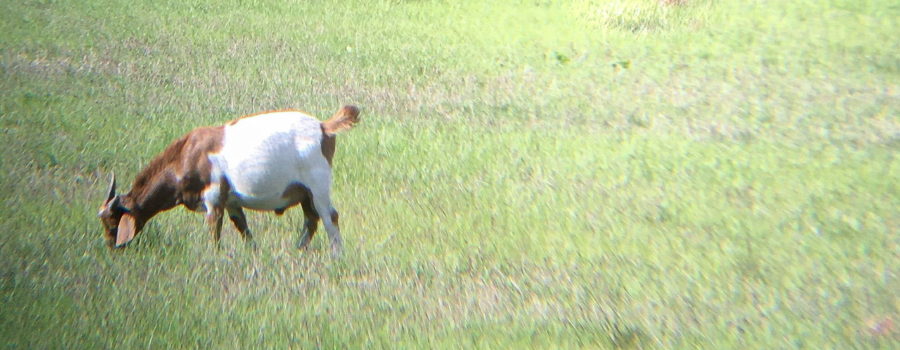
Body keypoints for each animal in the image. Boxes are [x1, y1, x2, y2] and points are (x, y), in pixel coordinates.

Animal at [97, 104, 358, 254]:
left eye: (112, 223)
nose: (112, 249)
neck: (185, 157)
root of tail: (323, 126)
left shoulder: (214, 198)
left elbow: (215, 230)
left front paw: (215, 256)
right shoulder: (232, 202)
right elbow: (243, 228)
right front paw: (254, 253)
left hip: (317, 183)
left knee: (329, 217)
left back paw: (336, 255)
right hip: (305, 193)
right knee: (311, 219)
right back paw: (297, 250)